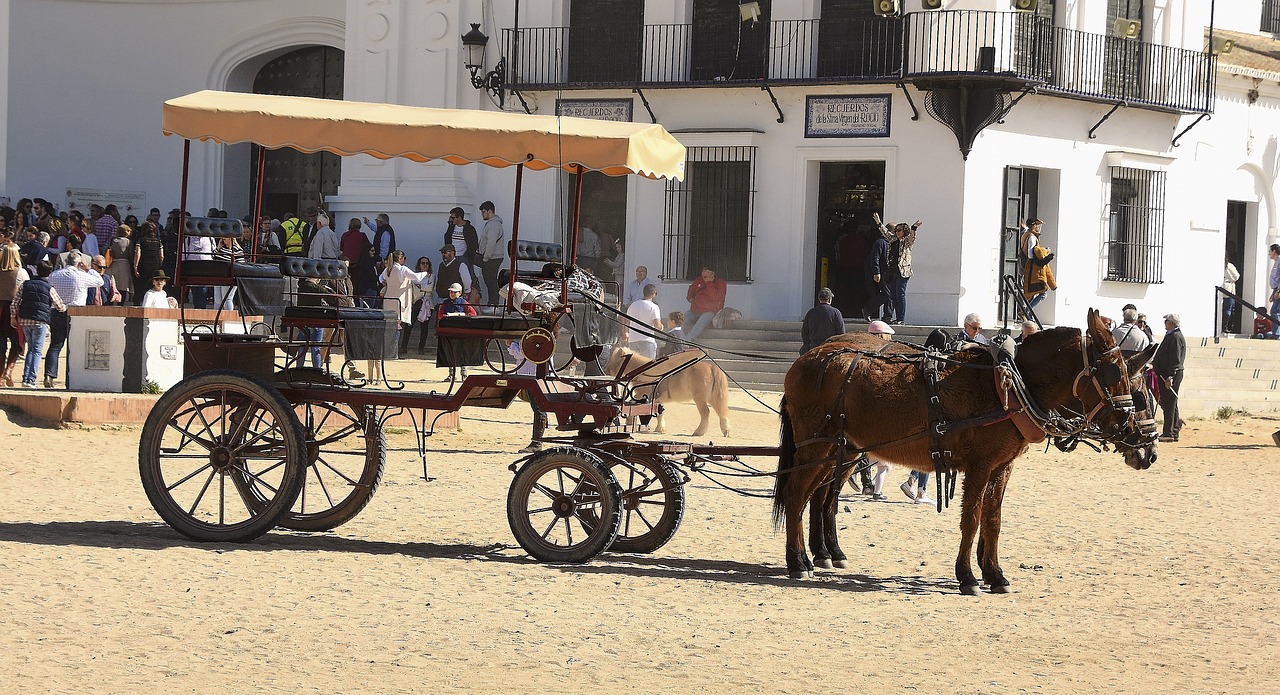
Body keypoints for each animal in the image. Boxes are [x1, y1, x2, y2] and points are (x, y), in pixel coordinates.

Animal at [606, 348, 737, 440]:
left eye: (616, 359)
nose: (606, 370)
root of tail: (711, 367)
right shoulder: (657, 401)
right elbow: (659, 414)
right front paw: (660, 429)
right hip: (712, 398)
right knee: (721, 413)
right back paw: (726, 431)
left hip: (700, 399)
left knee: (706, 413)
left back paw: (699, 432)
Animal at [773, 312, 1157, 596]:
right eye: (1115, 372)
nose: (1142, 443)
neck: (1010, 384)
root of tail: (806, 359)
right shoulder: (980, 465)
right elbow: (971, 519)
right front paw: (968, 576)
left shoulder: (1002, 466)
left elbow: (993, 519)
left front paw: (995, 574)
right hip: (818, 446)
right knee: (797, 495)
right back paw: (798, 562)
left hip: (841, 449)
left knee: (818, 498)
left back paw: (822, 555)